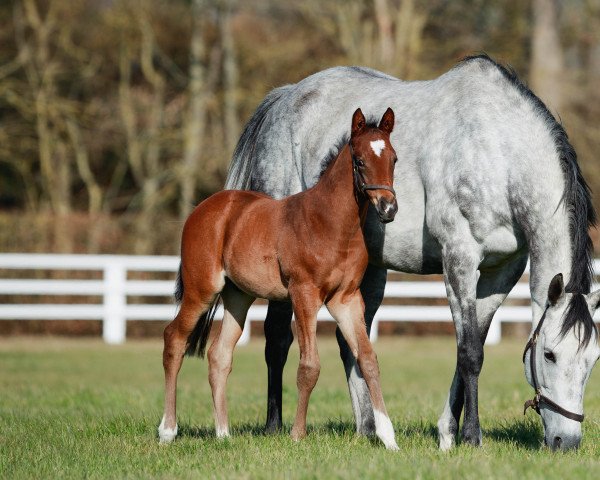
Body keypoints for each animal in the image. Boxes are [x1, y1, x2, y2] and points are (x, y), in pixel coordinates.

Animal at [159, 108, 400, 450]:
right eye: (360, 160)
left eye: (393, 158)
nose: (388, 208)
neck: (331, 224)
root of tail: (204, 209)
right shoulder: (304, 294)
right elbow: (309, 366)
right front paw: (298, 434)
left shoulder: (347, 299)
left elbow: (367, 360)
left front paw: (388, 438)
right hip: (201, 290)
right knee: (174, 339)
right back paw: (167, 431)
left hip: (238, 297)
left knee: (219, 355)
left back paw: (223, 434)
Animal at [225, 56, 600, 450]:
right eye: (549, 354)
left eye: (592, 359)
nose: (566, 441)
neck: (498, 152)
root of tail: (283, 98)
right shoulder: (458, 259)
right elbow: (470, 353)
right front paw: (470, 436)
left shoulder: (501, 274)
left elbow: (471, 345)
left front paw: (448, 432)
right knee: (277, 339)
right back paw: (275, 426)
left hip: (369, 271)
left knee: (351, 342)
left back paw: (368, 428)